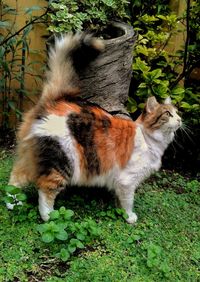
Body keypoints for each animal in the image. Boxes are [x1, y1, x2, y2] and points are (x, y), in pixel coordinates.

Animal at [6, 33, 181, 224]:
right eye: (168, 114)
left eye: (177, 113)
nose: (180, 120)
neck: (149, 139)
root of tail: (52, 102)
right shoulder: (128, 181)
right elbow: (128, 201)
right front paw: (130, 217)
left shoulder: (120, 182)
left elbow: (119, 200)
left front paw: (119, 210)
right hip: (62, 162)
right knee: (45, 190)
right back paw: (50, 216)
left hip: (29, 157)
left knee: (14, 180)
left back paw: (13, 205)